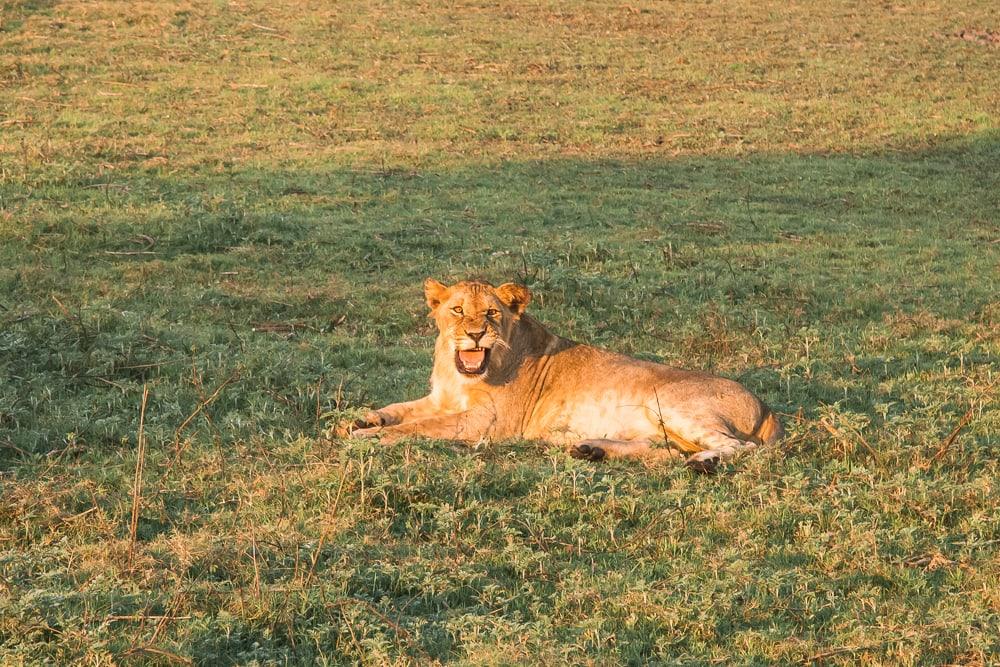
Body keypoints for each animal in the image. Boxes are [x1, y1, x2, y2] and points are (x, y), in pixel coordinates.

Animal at [344, 280, 780, 472]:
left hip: (675, 408)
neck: (460, 375)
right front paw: (362, 420)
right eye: (456, 310)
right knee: (665, 450)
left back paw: (705, 462)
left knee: (740, 448)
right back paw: (591, 450)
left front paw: (371, 437)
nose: (476, 333)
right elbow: (402, 408)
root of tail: (766, 405)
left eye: (491, 312)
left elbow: (422, 426)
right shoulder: (439, 398)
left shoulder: (489, 422)